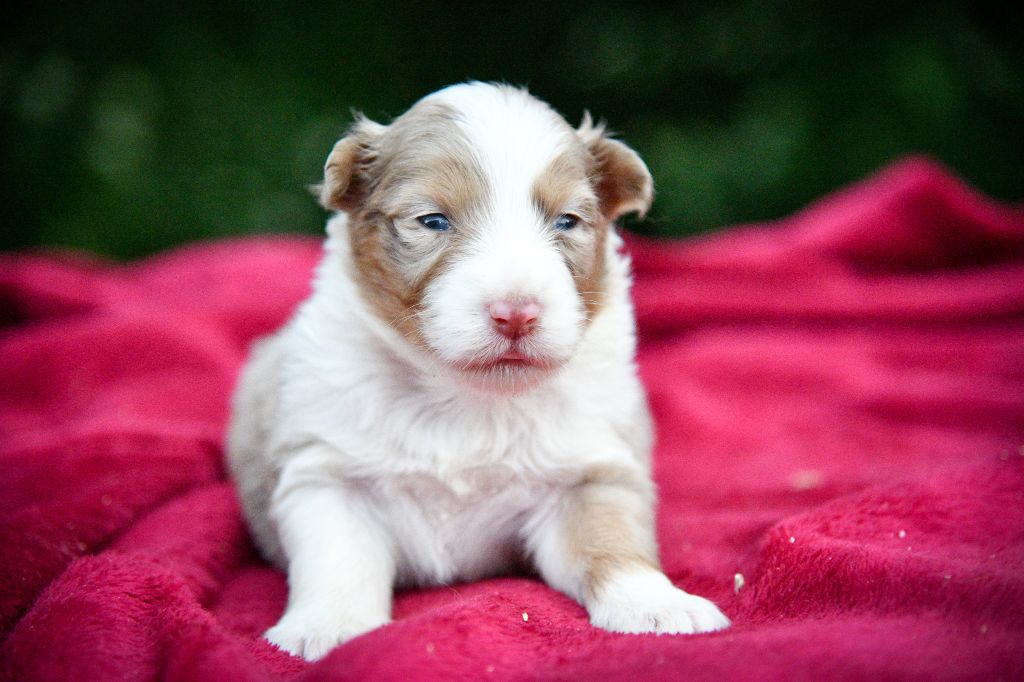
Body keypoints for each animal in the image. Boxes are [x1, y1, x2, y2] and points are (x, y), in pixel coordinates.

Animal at [227, 82, 729, 661]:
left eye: (566, 222)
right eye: (432, 221)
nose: (517, 313)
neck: (465, 400)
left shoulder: (588, 472)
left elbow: (611, 540)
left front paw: (657, 605)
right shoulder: (326, 472)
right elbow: (338, 558)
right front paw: (327, 627)